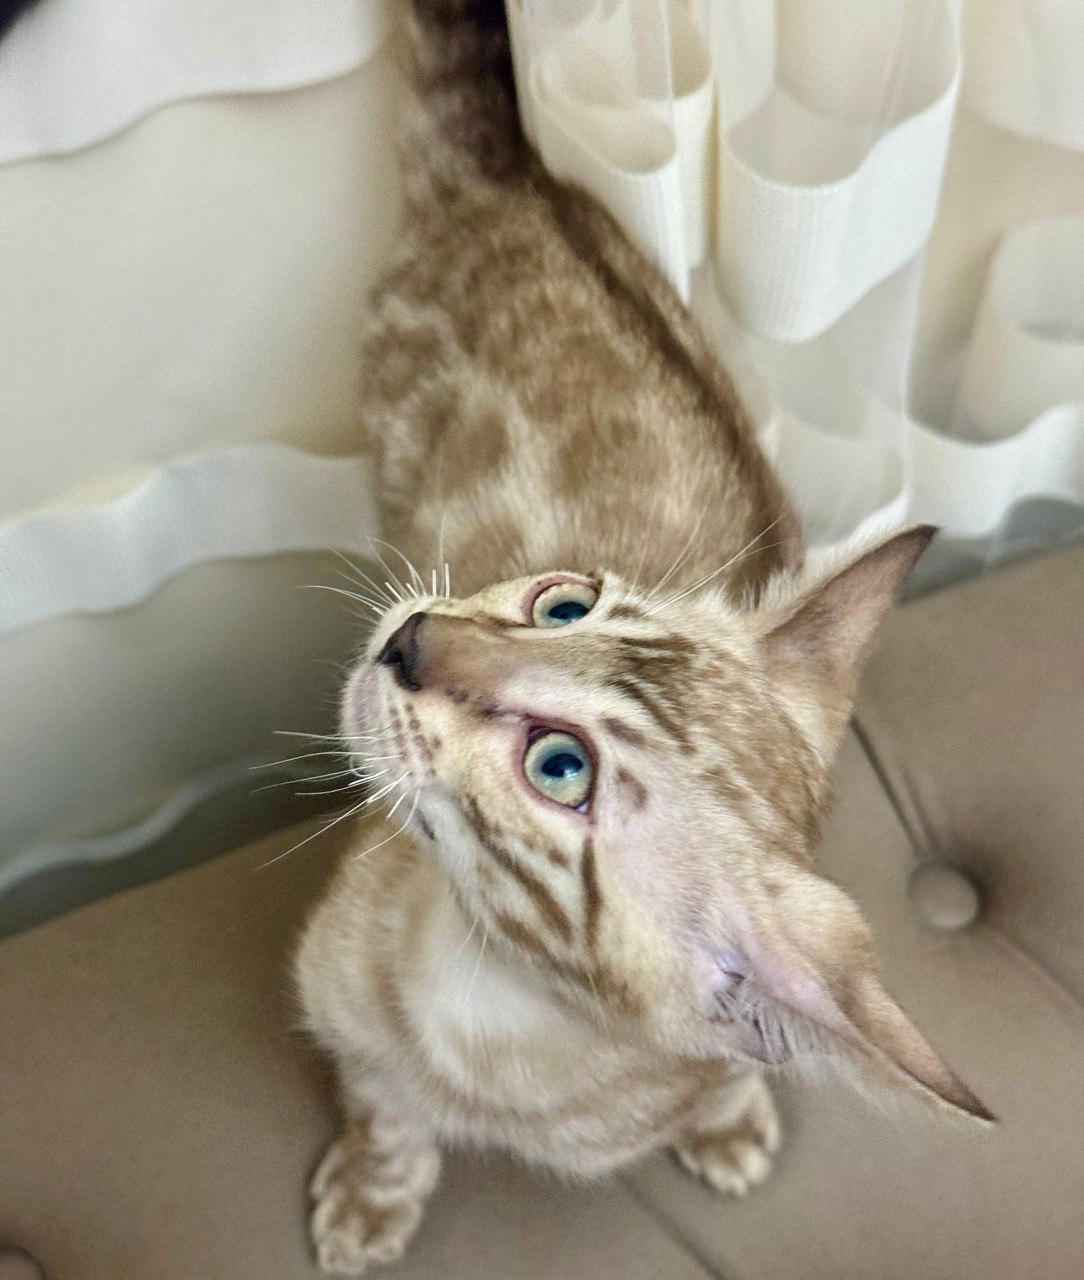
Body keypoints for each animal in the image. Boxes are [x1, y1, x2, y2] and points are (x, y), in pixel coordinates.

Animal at [295, 1, 991, 1273]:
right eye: (563, 602)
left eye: (560, 767)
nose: (413, 636)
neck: (497, 1011)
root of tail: (510, 171)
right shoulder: (338, 1014)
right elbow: (384, 1109)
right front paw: (373, 1197)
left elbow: (723, 1077)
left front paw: (727, 1120)